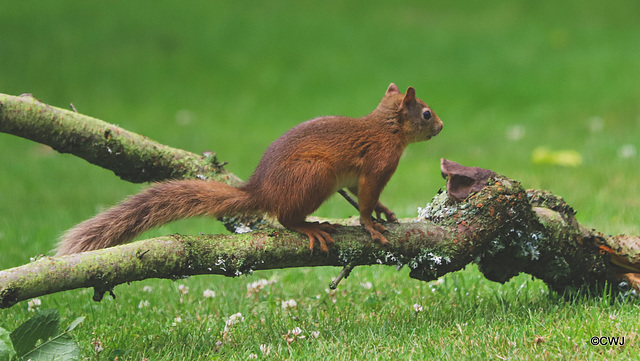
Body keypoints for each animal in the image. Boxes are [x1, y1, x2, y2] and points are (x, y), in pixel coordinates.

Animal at [56, 83, 440, 255]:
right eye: (425, 113)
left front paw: (384, 212)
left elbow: (366, 196)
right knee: (285, 218)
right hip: (316, 176)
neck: (387, 128)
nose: (440, 126)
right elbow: (365, 199)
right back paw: (310, 226)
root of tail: (262, 191)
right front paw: (370, 224)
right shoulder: (378, 164)